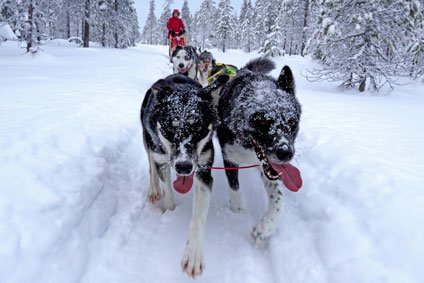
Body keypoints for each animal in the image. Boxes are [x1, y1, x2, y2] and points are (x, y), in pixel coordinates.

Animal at [141, 73, 229, 280]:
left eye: (198, 128)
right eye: (170, 129)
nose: (183, 166)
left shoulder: (203, 171)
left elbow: (198, 218)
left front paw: (193, 255)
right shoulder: (162, 160)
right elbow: (167, 191)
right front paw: (170, 212)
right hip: (148, 141)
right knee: (151, 166)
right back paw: (153, 189)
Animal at [217, 57, 304, 244]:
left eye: (292, 122)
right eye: (263, 121)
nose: (285, 153)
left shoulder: (269, 168)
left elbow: (278, 200)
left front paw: (266, 226)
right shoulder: (229, 157)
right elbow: (235, 187)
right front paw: (237, 212)